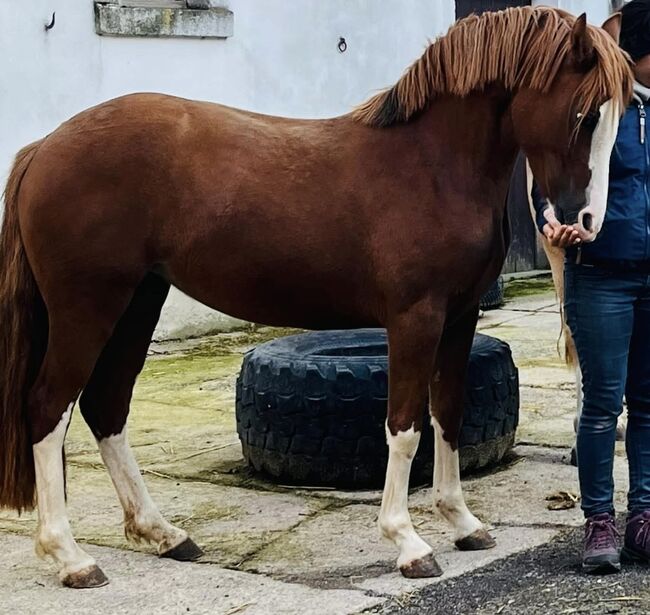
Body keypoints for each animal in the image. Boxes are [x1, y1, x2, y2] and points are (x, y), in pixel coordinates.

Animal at [0, 7, 632, 588]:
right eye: (583, 114)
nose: (585, 223)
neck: (432, 164)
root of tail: (43, 148)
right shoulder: (415, 319)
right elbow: (405, 427)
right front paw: (408, 543)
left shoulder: (460, 318)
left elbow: (447, 416)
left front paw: (463, 523)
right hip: (88, 307)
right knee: (48, 407)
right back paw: (71, 557)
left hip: (138, 302)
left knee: (105, 407)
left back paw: (163, 534)